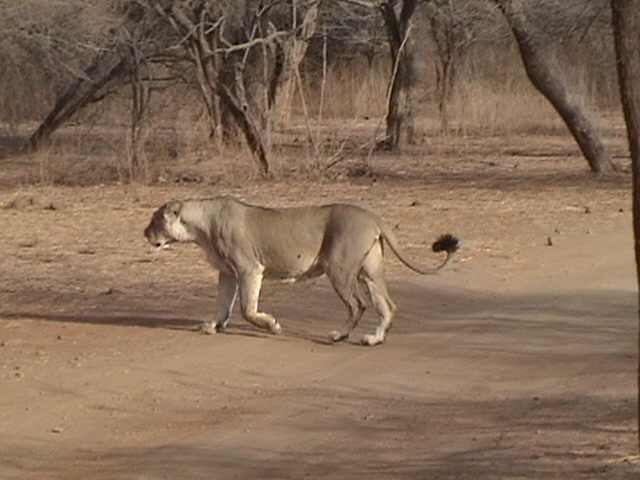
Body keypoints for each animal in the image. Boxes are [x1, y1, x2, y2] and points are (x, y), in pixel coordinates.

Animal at [144, 195, 460, 344]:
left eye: (155, 220)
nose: (144, 233)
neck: (201, 227)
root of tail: (372, 216)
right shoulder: (228, 273)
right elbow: (222, 305)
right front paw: (211, 326)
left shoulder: (249, 268)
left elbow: (247, 310)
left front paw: (273, 325)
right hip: (370, 271)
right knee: (387, 305)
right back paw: (374, 339)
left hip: (339, 268)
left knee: (357, 305)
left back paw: (339, 336)